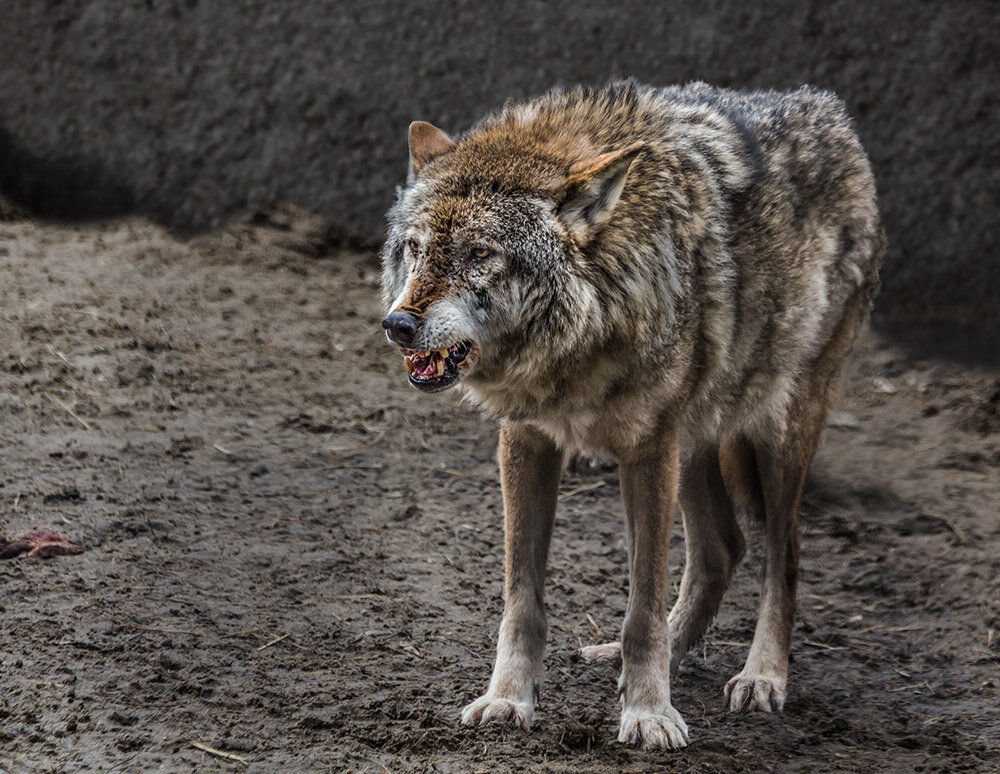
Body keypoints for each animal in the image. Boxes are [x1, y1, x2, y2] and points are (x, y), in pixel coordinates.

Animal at [379, 80, 885, 750]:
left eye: (479, 254)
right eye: (415, 250)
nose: (397, 324)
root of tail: (834, 114)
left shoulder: (647, 451)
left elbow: (643, 604)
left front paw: (649, 712)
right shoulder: (527, 440)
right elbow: (521, 598)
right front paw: (508, 699)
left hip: (774, 436)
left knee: (785, 559)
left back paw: (762, 677)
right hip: (694, 442)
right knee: (722, 549)